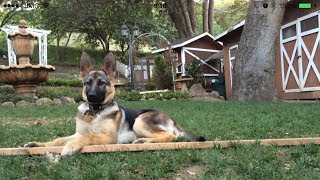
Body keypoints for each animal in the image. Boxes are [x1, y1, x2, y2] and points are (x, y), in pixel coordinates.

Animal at [23, 52, 206, 156]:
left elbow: (89, 136)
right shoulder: (77, 134)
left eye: (102, 83)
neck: (96, 112)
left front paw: (70, 147)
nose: (91, 96)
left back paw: (145, 142)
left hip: (139, 121)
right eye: (87, 83)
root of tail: (171, 119)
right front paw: (38, 144)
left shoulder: (107, 137)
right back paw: (143, 141)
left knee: (171, 136)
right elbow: (58, 139)